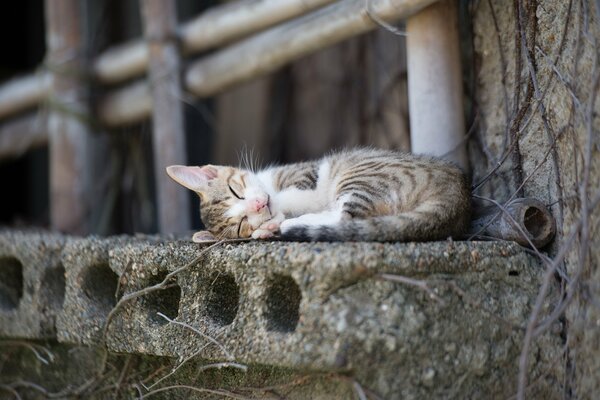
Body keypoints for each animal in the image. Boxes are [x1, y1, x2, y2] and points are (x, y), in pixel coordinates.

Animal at [166, 147, 472, 241]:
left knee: (345, 217)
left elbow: (290, 195)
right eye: (240, 224)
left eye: (235, 191)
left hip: (359, 176)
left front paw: (273, 214)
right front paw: (262, 227)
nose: (258, 204)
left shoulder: (306, 175)